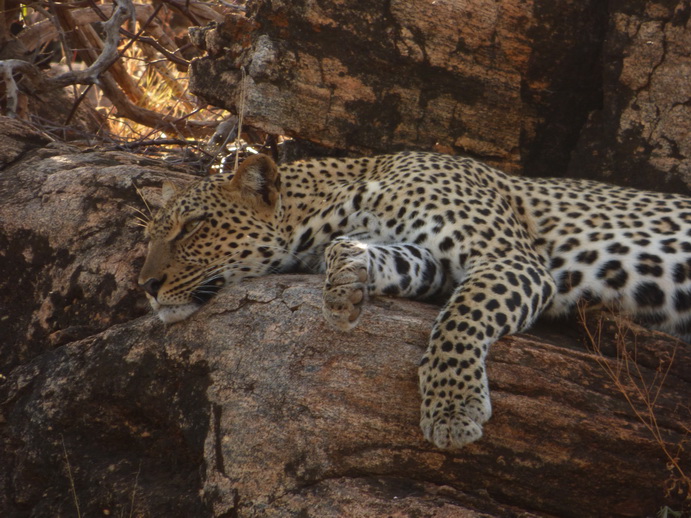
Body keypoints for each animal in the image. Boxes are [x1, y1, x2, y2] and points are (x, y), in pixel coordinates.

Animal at [139, 151, 691, 450]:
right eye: (150, 235)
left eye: (193, 227)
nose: (145, 286)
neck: (326, 210)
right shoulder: (429, 263)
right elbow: (373, 255)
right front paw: (345, 287)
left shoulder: (511, 259)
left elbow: (461, 318)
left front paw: (452, 408)